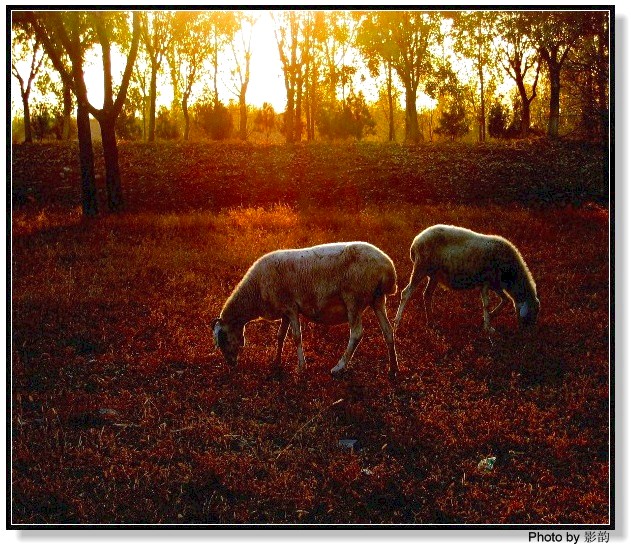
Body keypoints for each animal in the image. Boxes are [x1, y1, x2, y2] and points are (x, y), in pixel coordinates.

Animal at [210, 243, 400, 380]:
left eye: (223, 339)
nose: (231, 364)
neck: (255, 293)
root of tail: (387, 267)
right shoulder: (285, 311)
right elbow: (280, 336)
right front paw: (276, 362)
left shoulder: (291, 307)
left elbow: (296, 337)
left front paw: (301, 367)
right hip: (377, 299)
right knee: (388, 331)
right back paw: (393, 369)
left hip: (353, 298)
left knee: (356, 333)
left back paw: (338, 367)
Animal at [396, 226, 540, 334]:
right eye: (531, 314)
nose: (528, 334)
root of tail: (416, 241)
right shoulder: (486, 282)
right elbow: (487, 304)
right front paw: (488, 327)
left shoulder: (495, 284)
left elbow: (505, 300)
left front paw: (490, 317)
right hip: (421, 267)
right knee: (406, 293)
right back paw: (397, 322)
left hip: (434, 275)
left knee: (427, 295)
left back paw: (431, 323)